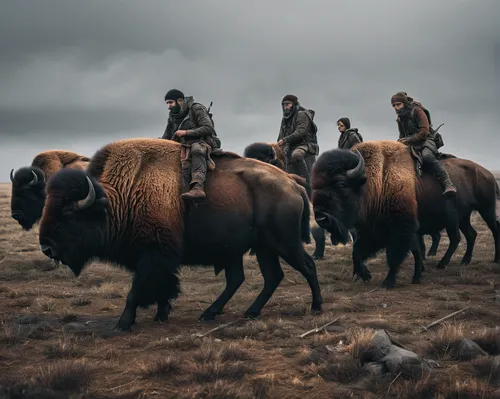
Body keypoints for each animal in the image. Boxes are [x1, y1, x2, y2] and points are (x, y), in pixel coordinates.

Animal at [37, 138, 322, 332]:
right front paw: (160, 315)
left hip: (284, 243)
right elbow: (161, 287)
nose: (47, 248)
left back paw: (316, 307)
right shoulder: (155, 258)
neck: (119, 197)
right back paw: (231, 313)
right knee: (260, 277)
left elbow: (137, 291)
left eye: (68, 215)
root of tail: (293, 183)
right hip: (260, 248)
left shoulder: (154, 255)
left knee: (306, 267)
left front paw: (123, 323)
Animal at [310, 142, 424, 290]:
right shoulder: (371, 231)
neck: (380, 180)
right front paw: (364, 275)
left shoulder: (399, 229)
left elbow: (394, 256)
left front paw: (388, 282)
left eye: (341, 184)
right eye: (314, 187)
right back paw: (417, 277)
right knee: (417, 250)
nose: (321, 218)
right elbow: (357, 251)